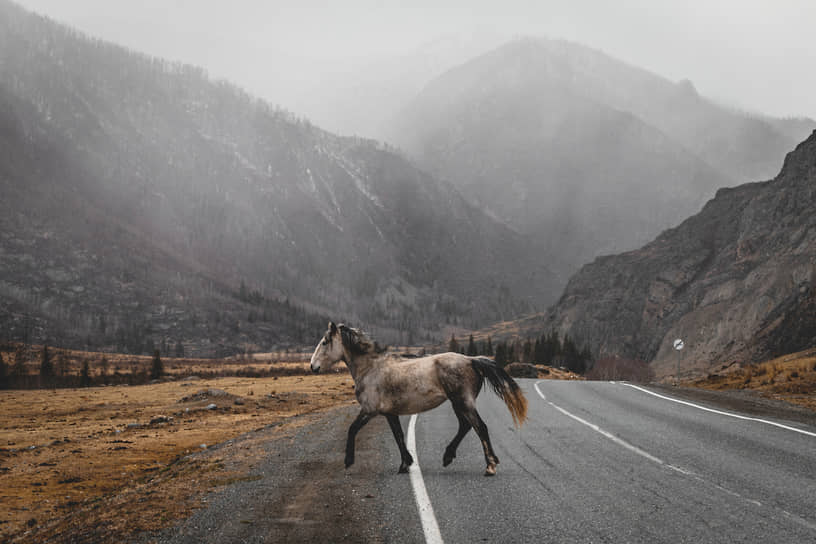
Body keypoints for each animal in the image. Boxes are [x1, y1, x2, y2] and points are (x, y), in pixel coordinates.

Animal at [308, 324, 528, 476]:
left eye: (325, 342)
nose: (313, 366)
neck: (371, 369)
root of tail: (471, 360)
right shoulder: (390, 413)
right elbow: (398, 436)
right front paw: (405, 463)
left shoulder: (369, 411)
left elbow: (352, 429)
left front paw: (348, 460)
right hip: (458, 404)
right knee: (465, 426)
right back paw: (448, 456)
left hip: (463, 402)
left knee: (480, 427)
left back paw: (490, 466)